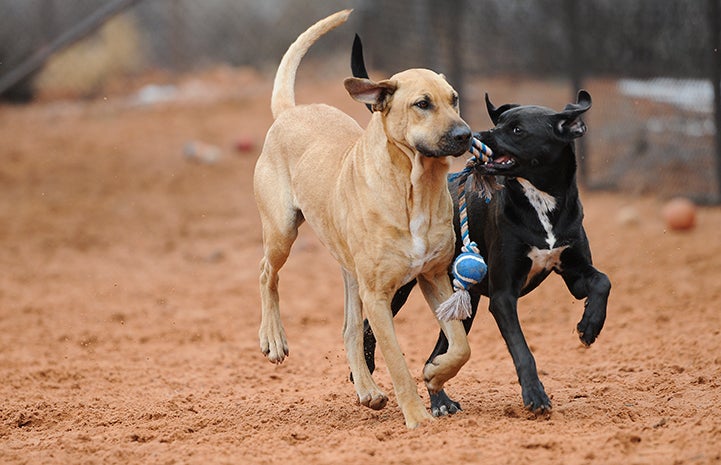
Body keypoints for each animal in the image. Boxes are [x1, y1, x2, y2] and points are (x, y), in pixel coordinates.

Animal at [253, 9, 472, 428]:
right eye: (422, 104)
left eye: (453, 99)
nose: (465, 135)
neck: (415, 188)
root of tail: (290, 111)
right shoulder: (379, 297)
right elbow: (398, 363)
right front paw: (418, 418)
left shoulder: (434, 278)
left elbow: (460, 346)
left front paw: (436, 373)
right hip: (283, 233)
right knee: (266, 274)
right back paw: (273, 338)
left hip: (351, 273)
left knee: (350, 330)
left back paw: (368, 390)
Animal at [352, 34, 612, 416]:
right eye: (500, 122)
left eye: (516, 129)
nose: (473, 133)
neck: (540, 203)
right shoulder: (503, 296)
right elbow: (522, 349)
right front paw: (535, 396)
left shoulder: (574, 271)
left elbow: (602, 282)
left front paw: (590, 326)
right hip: (404, 290)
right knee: (371, 329)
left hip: (464, 302)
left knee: (435, 356)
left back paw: (441, 401)